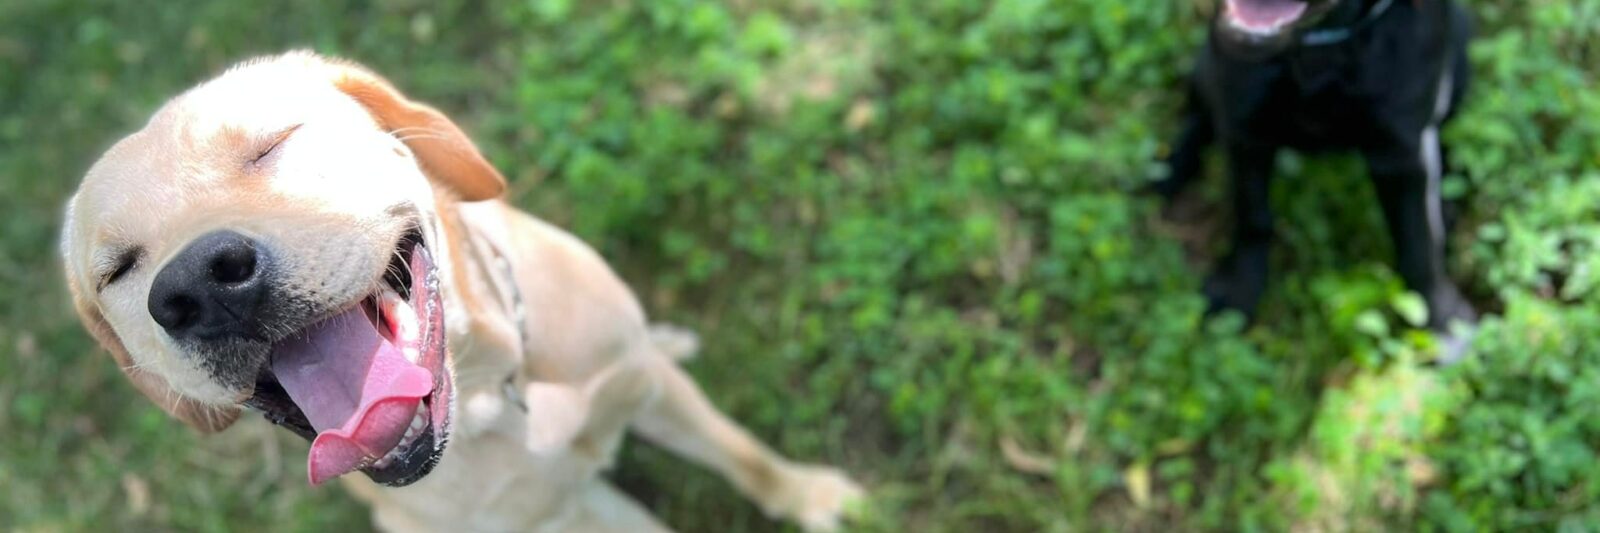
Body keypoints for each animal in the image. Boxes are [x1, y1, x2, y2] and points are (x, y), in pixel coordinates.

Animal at [59, 50, 864, 531]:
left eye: (273, 144)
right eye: (118, 269)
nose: (198, 282)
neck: (491, 399)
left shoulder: (643, 388)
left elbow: (746, 456)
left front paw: (812, 495)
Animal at [1158, 0, 1478, 337]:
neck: (1320, 43)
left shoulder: (1404, 151)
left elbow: (1421, 241)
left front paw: (1443, 320)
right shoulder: (1242, 129)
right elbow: (1252, 217)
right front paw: (1238, 291)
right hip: (1206, 67)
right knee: (1198, 116)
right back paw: (1169, 170)